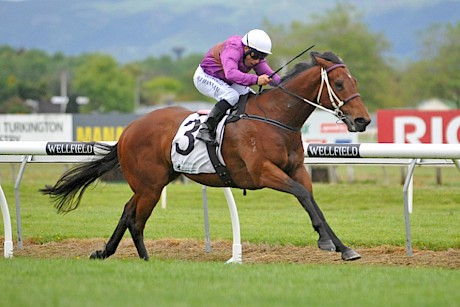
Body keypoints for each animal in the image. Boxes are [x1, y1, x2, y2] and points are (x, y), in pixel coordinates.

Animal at [39, 51, 370, 262]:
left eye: (355, 82)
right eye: (339, 84)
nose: (363, 121)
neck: (274, 118)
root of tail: (129, 129)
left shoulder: (297, 169)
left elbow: (311, 200)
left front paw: (343, 247)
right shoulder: (263, 172)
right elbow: (301, 194)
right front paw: (327, 242)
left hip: (151, 183)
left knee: (127, 211)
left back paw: (106, 252)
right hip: (150, 186)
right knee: (136, 219)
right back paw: (145, 260)